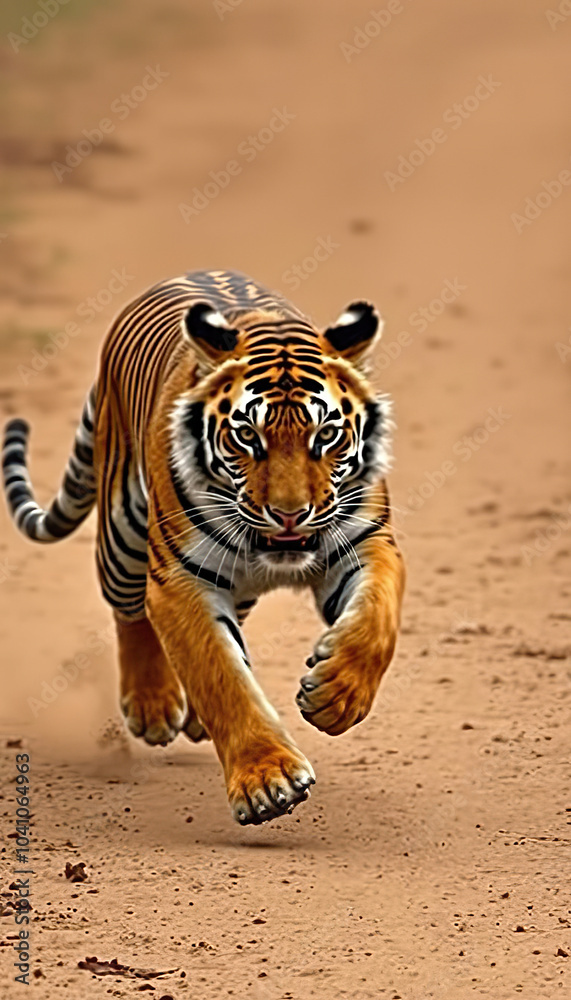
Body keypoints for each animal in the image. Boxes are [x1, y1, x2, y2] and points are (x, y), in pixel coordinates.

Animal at [2, 270, 405, 826]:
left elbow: (377, 620)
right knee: (131, 612)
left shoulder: (367, 542)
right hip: (123, 536)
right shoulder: (180, 578)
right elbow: (218, 674)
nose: (290, 514)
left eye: (326, 435)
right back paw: (151, 706)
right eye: (246, 436)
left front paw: (336, 697)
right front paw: (268, 780)